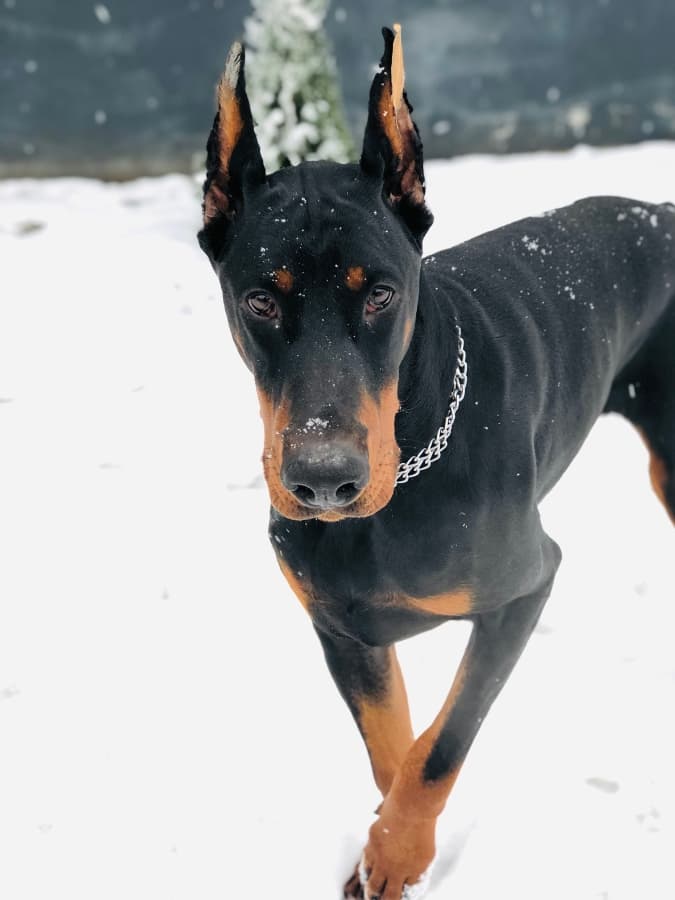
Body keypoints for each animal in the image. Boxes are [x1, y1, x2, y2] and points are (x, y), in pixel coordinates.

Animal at [198, 24, 675, 896]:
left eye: (382, 294)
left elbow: (441, 743)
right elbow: (392, 747)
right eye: (260, 299)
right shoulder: (341, 626)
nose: (324, 480)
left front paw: (399, 851)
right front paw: (386, 848)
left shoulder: (524, 588)